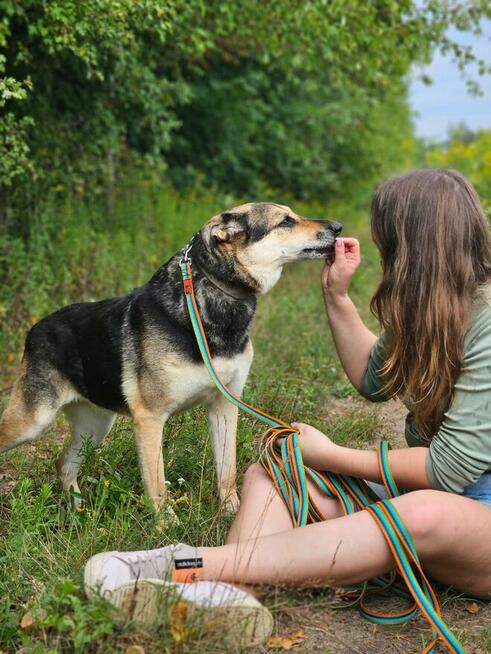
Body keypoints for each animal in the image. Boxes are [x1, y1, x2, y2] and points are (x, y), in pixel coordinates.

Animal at [0, 204, 342, 516]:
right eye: (286, 221)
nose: (338, 227)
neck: (212, 298)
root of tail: (35, 329)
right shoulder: (150, 418)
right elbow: (157, 484)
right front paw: (167, 528)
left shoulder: (224, 406)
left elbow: (227, 471)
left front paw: (232, 512)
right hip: (34, 421)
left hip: (95, 426)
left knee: (64, 465)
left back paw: (78, 511)